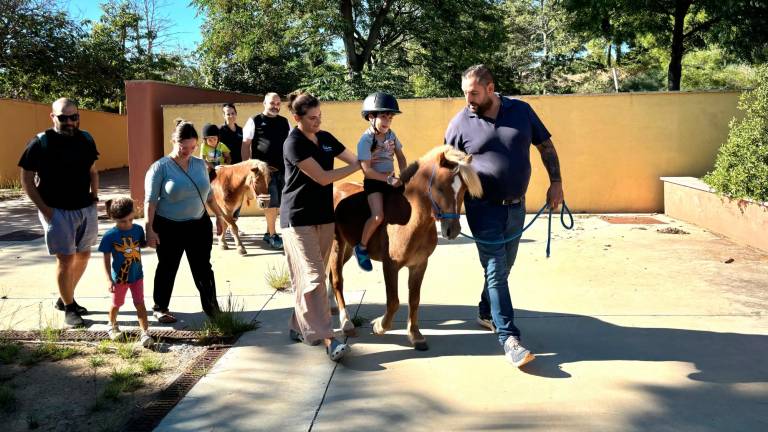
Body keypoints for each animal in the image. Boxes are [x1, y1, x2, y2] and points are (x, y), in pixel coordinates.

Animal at [328, 147, 480, 350]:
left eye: (463, 189)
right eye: (440, 188)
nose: (452, 230)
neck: (409, 218)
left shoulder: (419, 265)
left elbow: (414, 300)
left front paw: (415, 335)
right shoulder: (390, 266)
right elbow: (393, 302)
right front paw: (380, 326)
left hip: (348, 249)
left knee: (329, 275)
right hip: (337, 245)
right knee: (337, 280)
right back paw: (346, 323)